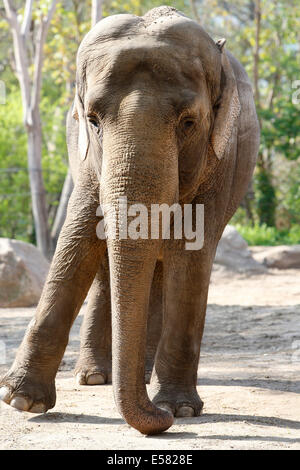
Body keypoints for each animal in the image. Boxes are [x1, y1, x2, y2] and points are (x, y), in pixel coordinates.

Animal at [0, 5, 260, 436]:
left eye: (189, 122)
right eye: (92, 120)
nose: (161, 420)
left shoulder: (223, 158)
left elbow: (192, 254)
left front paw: (179, 408)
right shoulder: (88, 162)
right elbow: (78, 237)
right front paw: (21, 400)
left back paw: (146, 376)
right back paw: (95, 377)